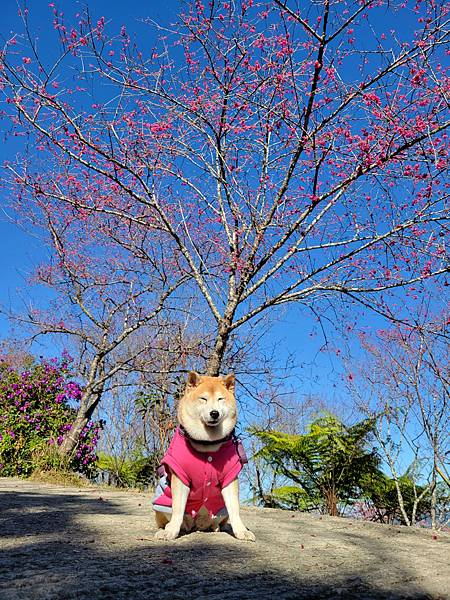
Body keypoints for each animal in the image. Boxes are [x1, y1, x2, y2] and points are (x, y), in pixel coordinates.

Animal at [153, 372, 255, 540]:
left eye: (220, 399)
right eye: (203, 399)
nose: (214, 413)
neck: (207, 443)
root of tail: (197, 525)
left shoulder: (230, 478)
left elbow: (235, 509)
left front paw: (241, 531)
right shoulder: (180, 477)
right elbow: (178, 509)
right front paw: (171, 531)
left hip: (220, 513)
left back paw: (216, 528)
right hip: (160, 505)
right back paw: (169, 528)